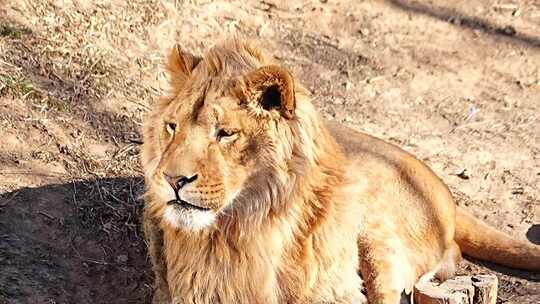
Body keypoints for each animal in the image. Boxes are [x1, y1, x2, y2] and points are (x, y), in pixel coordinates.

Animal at [142, 38, 540, 304]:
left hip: (378, 231)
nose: (172, 180)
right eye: (172, 127)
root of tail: (442, 187)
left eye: (225, 134)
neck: (244, 233)